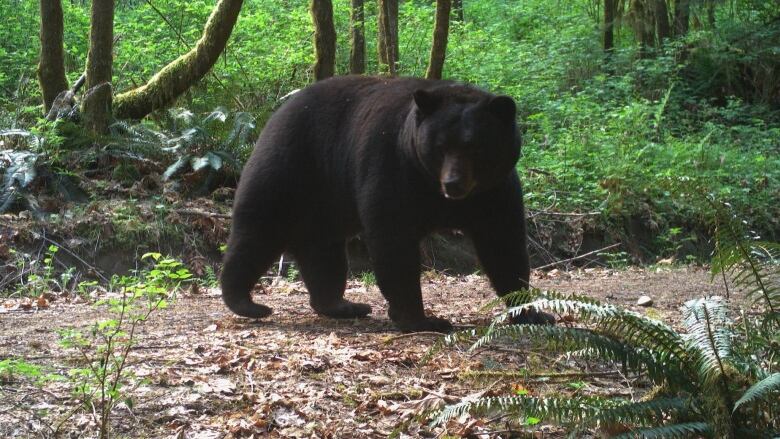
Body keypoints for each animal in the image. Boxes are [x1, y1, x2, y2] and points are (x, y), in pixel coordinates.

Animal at [216, 75, 552, 332]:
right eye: (441, 146)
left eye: (476, 148)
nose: (453, 183)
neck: (432, 186)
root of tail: (278, 111)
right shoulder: (392, 167)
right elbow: (393, 240)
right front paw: (422, 319)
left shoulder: (494, 191)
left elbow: (503, 245)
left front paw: (531, 311)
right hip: (290, 167)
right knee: (258, 230)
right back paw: (247, 302)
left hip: (325, 201)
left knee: (322, 252)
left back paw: (343, 304)